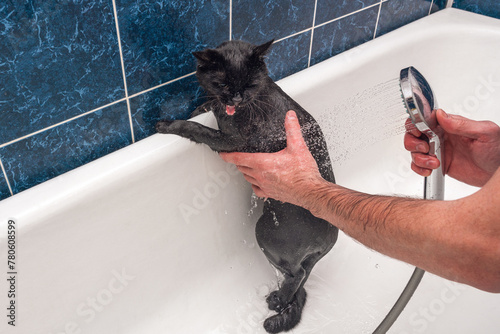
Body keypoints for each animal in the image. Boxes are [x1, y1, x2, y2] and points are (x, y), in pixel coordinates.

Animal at [156, 40, 340, 332]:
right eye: (222, 83)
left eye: (250, 84)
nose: (236, 98)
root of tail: (332, 237)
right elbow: (206, 107)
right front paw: (201, 107)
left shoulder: (232, 141)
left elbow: (197, 129)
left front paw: (168, 124)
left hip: (266, 234)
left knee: (296, 273)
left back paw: (278, 301)